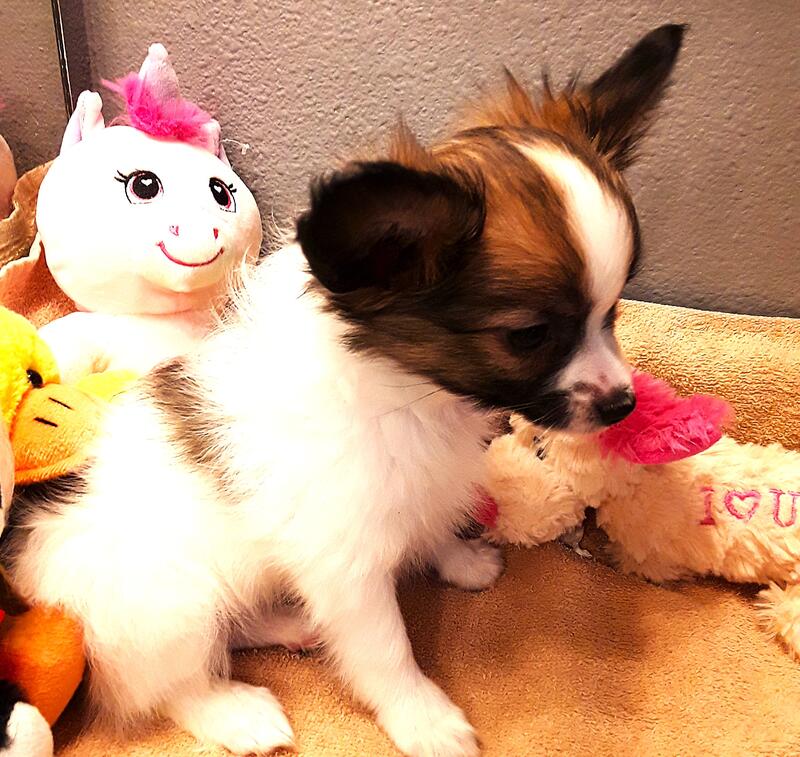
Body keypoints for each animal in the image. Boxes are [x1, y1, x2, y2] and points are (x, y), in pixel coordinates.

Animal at [2, 24, 684, 757]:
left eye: (614, 310)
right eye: (529, 336)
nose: (623, 405)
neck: (417, 393)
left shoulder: (418, 489)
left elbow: (431, 524)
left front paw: (458, 559)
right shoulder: (345, 564)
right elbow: (384, 649)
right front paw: (424, 718)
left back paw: (288, 623)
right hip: (167, 607)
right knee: (169, 682)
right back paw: (238, 711)